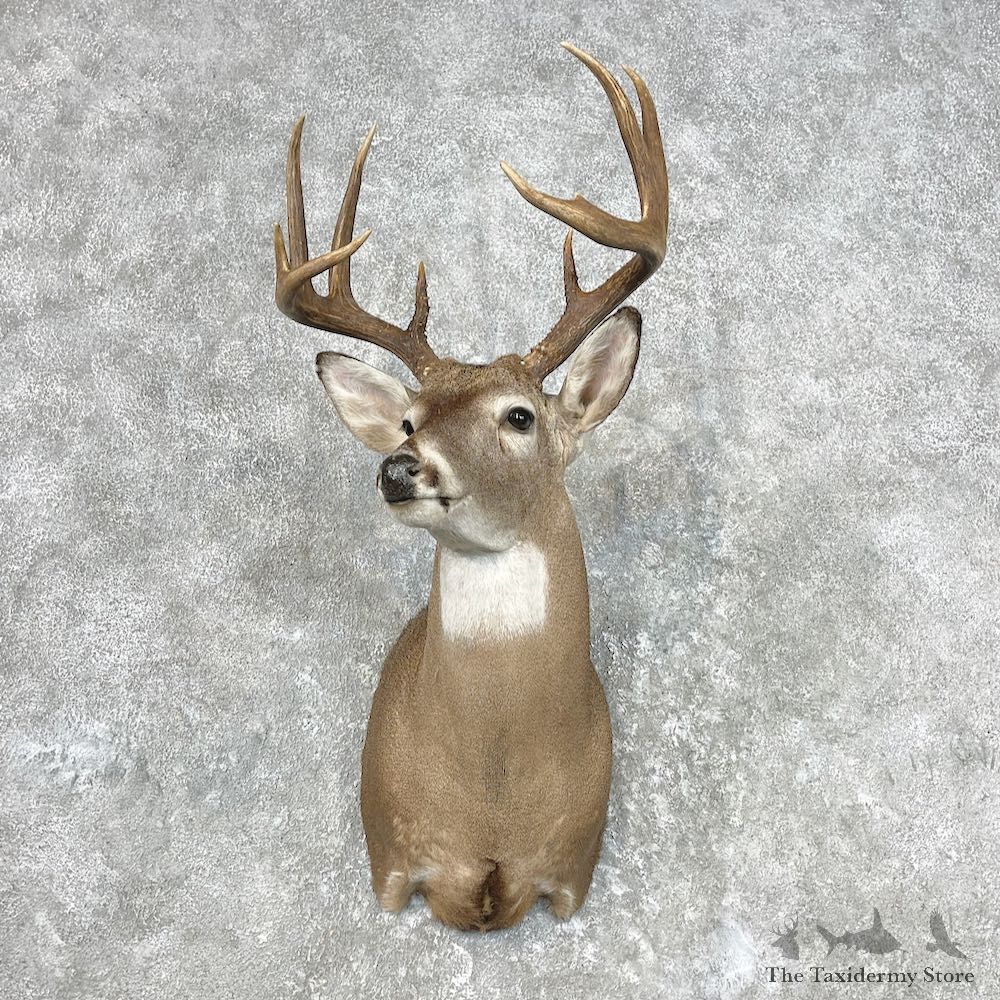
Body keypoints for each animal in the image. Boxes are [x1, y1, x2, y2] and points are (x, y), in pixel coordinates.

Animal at [273, 42, 668, 931]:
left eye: (519, 416)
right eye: (408, 419)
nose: (397, 467)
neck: (493, 798)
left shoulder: (572, 874)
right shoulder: (391, 857)